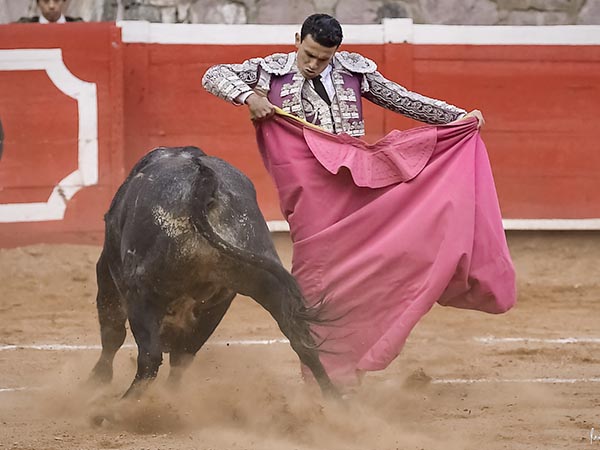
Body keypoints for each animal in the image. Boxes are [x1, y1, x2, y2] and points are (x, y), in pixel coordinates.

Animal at [91, 146, 340, 400]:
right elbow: (182, 355)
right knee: (302, 340)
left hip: (143, 292)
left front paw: (98, 379)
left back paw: (121, 405)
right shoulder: (217, 303)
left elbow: (112, 330)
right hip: (264, 277)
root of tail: (204, 183)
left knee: (149, 357)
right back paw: (336, 402)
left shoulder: (109, 269)